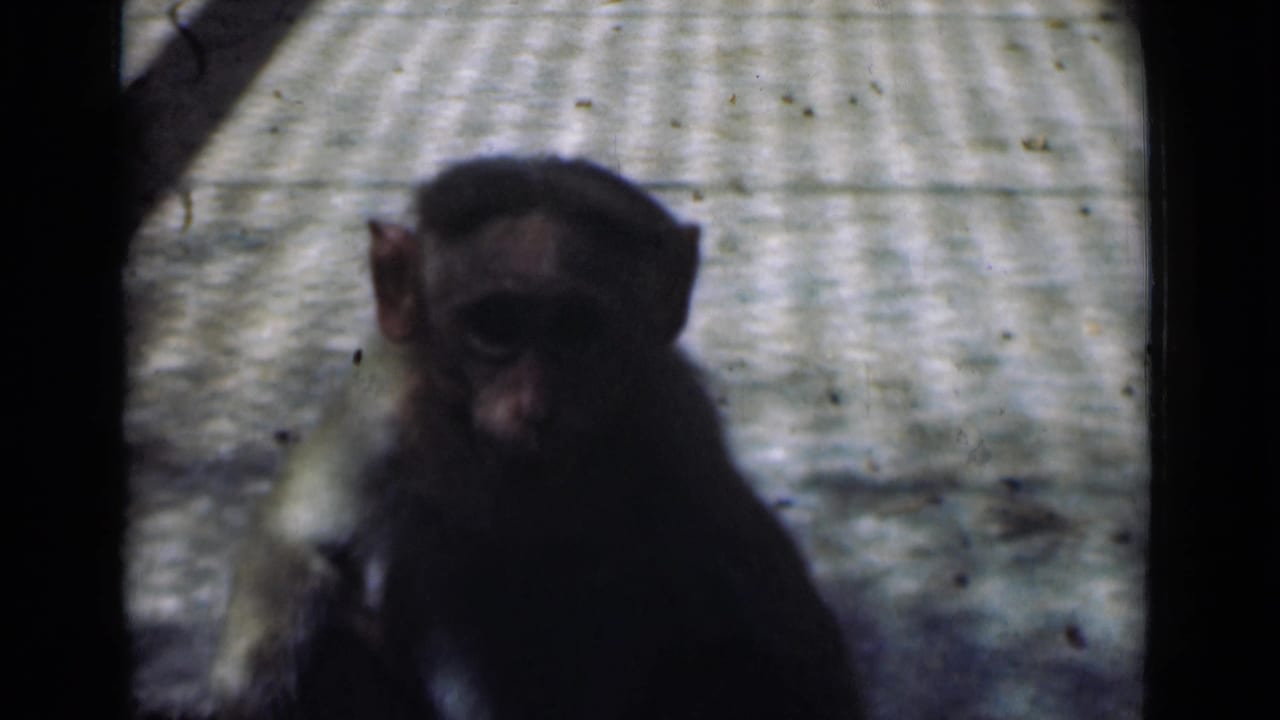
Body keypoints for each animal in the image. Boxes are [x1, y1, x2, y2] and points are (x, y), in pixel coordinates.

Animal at [210, 156, 862, 720]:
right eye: (494, 326)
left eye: (578, 329)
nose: (534, 403)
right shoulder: (382, 421)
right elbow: (298, 546)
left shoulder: (673, 422)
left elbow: (787, 630)